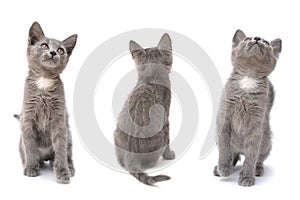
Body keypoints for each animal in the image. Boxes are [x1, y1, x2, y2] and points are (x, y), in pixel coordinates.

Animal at [15, 21, 77, 183]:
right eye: (44, 46)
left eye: (61, 50)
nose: (53, 52)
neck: (44, 79)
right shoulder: (27, 117)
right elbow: (30, 146)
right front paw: (31, 168)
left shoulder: (59, 119)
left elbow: (60, 148)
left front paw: (62, 172)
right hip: (20, 144)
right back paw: (34, 164)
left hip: (69, 136)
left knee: (66, 154)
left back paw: (69, 167)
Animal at [114, 33, 176, 185]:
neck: (151, 78)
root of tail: (130, 155)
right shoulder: (166, 115)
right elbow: (169, 141)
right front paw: (169, 155)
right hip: (161, 135)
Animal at [213, 29, 282, 186]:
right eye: (247, 39)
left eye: (266, 42)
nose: (257, 38)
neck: (249, 76)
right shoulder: (224, 119)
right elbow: (225, 149)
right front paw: (224, 168)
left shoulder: (256, 126)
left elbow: (251, 155)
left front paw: (246, 177)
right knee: (233, 154)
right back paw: (220, 168)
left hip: (266, 141)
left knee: (259, 158)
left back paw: (257, 170)